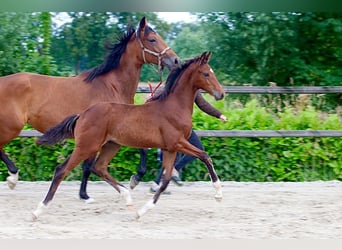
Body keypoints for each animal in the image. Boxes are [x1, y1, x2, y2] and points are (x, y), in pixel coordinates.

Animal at [0, 16, 179, 201]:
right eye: (152, 39)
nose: (175, 60)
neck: (111, 86)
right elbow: (88, 165)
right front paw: (88, 194)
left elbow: (139, 149)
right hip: (11, 127)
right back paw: (13, 177)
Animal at [32, 51, 224, 220]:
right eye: (206, 73)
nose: (221, 94)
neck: (173, 107)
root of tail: (82, 115)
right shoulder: (177, 143)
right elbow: (205, 156)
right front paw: (218, 194)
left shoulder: (169, 148)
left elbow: (166, 180)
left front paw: (141, 212)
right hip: (87, 146)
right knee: (62, 170)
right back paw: (38, 211)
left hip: (111, 145)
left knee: (99, 167)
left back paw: (127, 197)